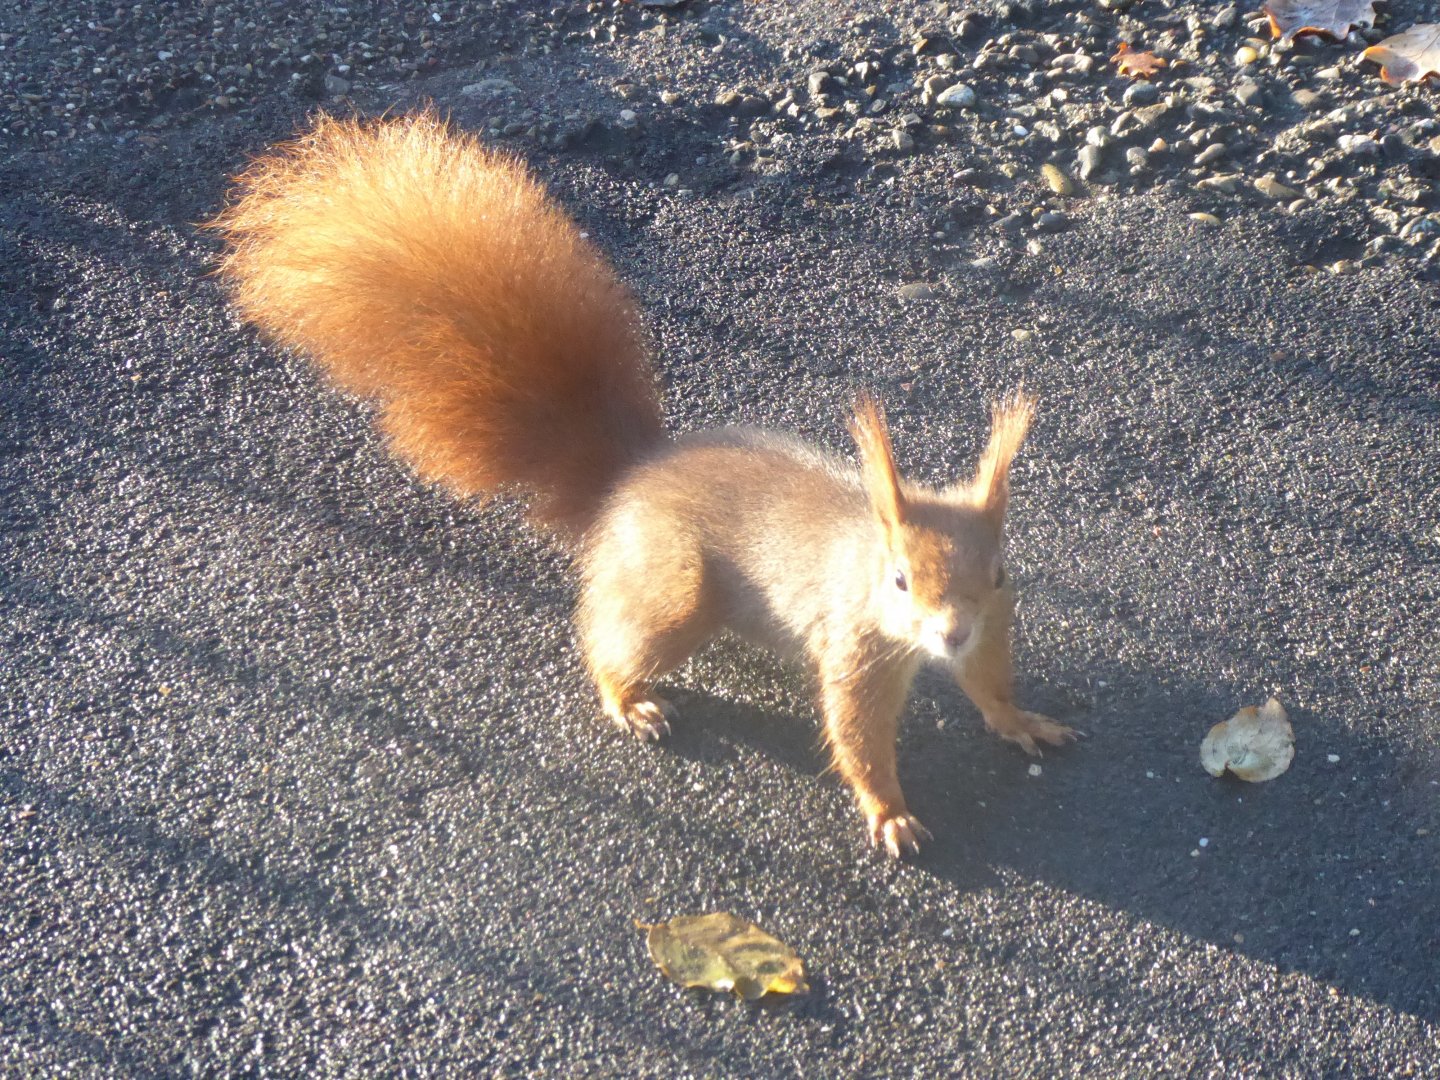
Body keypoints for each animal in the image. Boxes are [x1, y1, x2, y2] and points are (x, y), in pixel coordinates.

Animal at [209, 111, 1074, 859]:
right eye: (898, 580)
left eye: (1000, 573)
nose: (949, 632)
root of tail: (634, 475)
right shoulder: (854, 643)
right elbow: (856, 735)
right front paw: (889, 811)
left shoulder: (994, 623)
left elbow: (991, 680)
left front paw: (1019, 718)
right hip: (678, 591)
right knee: (606, 637)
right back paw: (628, 699)